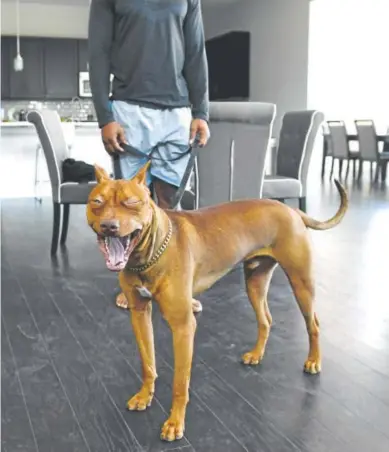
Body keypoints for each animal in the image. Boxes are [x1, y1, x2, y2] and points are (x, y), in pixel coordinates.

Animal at [86, 162, 348, 442]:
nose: (109, 226)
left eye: (132, 202)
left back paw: (313, 361)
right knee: (266, 320)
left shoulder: (183, 327)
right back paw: (256, 354)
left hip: (301, 284)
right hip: (255, 282)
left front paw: (175, 422)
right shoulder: (139, 314)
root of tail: (292, 210)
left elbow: (180, 382)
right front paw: (145, 396)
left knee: (314, 325)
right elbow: (148, 363)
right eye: (97, 202)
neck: (147, 256)